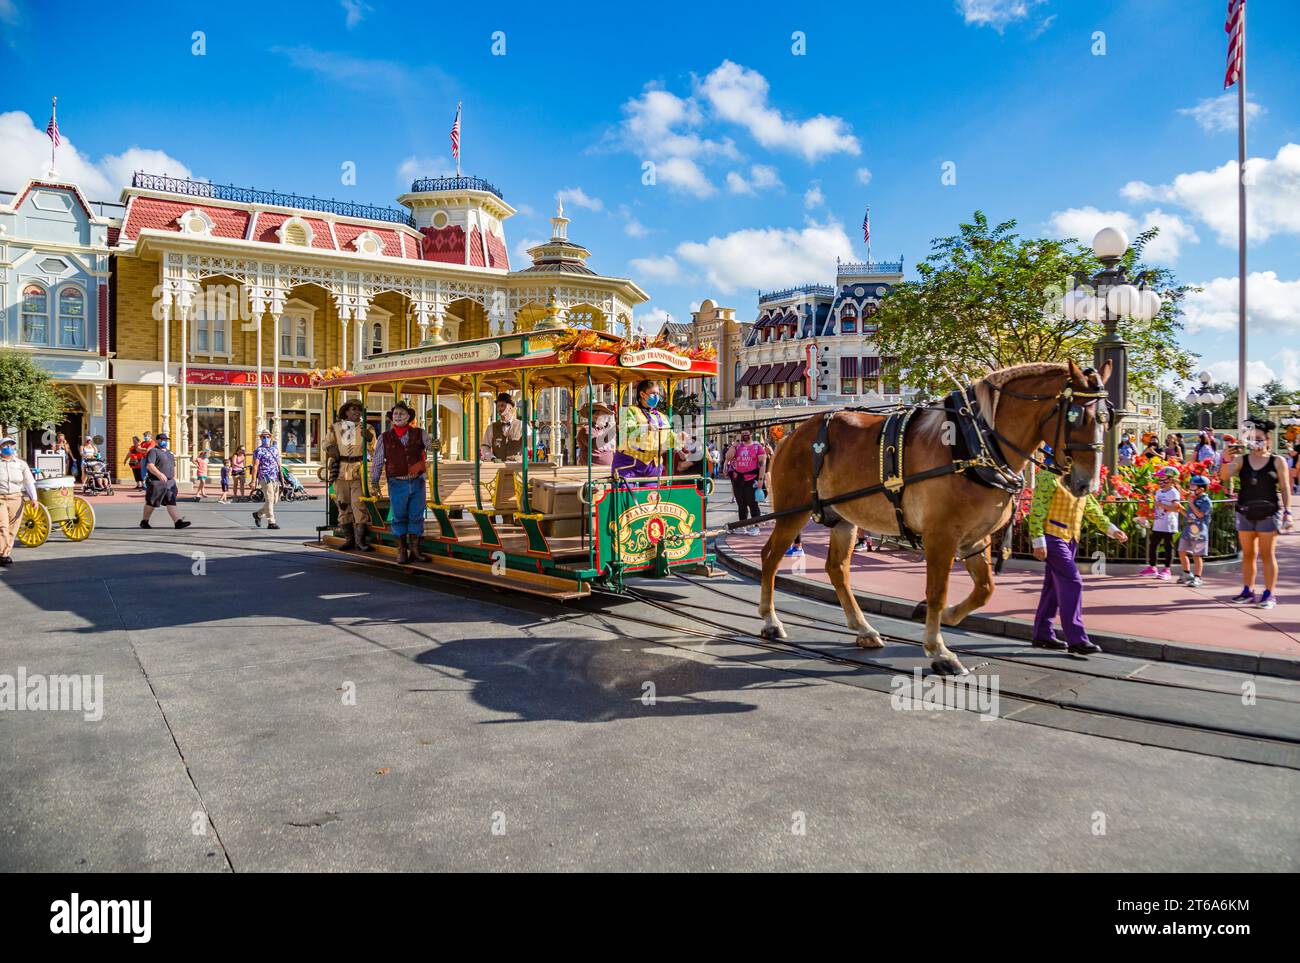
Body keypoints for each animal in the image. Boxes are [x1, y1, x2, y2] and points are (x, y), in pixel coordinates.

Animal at [759, 356, 1112, 670]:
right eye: (1076, 415)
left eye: (1105, 418)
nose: (1088, 482)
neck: (977, 444)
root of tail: (792, 434)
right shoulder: (941, 535)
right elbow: (938, 591)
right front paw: (939, 650)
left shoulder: (976, 537)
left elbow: (985, 590)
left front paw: (941, 616)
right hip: (792, 511)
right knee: (771, 556)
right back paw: (771, 621)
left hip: (843, 518)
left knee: (837, 568)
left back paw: (864, 629)